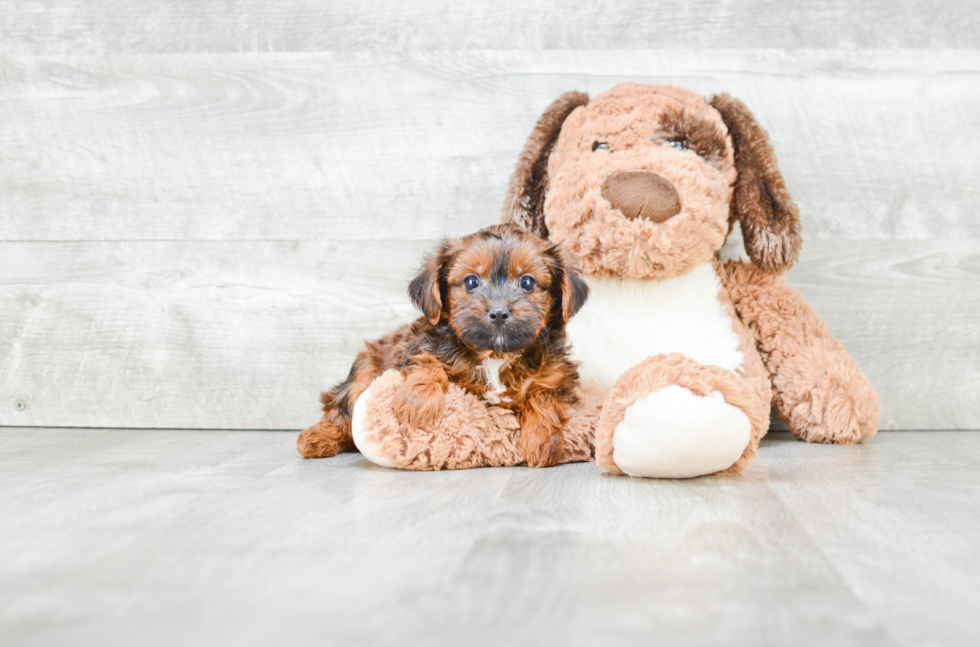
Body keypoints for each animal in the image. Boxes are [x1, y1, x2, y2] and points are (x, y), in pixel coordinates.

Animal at [296, 223, 588, 466]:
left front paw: (541, 441)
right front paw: (417, 403)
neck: (495, 355)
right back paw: (317, 437)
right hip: (364, 371)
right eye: (471, 281)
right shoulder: (418, 346)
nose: (498, 312)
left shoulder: (557, 376)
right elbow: (427, 362)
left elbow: (544, 395)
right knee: (341, 409)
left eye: (527, 282)